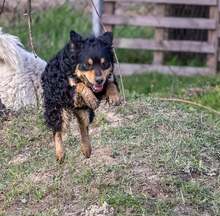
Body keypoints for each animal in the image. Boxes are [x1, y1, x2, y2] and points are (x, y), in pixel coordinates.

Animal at [41, 30, 120, 162]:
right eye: (87, 65)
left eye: (104, 64)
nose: (99, 80)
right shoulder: (65, 91)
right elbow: (79, 86)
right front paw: (90, 97)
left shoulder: (100, 87)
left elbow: (109, 84)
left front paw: (114, 96)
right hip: (56, 108)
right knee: (57, 129)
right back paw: (60, 153)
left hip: (84, 112)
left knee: (83, 126)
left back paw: (86, 148)